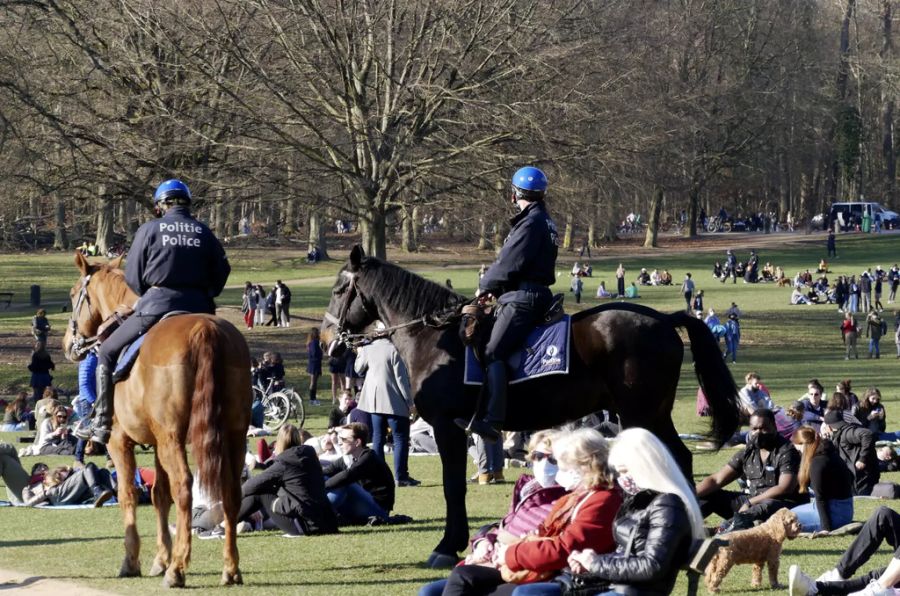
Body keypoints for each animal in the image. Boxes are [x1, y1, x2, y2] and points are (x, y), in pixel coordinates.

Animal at [63, 251, 251, 588]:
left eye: (74, 295)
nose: (67, 345)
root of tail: (205, 329)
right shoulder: (157, 441)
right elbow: (159, 495)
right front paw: (160, 559)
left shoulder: (120, 442)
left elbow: (128, 495)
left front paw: (133, 561)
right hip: (230, 435)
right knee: (230, 491)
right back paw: (229, 568)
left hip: (173, 440)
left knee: (185, 487)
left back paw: (178, 569)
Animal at [322, 247, 740, 568]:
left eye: (340, 288)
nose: (329, 341)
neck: (435, 337)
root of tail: (663, 318)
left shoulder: (447, 426)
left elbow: (453, 487)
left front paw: (447, 545)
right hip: (651, 414)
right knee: (679, 459)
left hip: (642, 413)